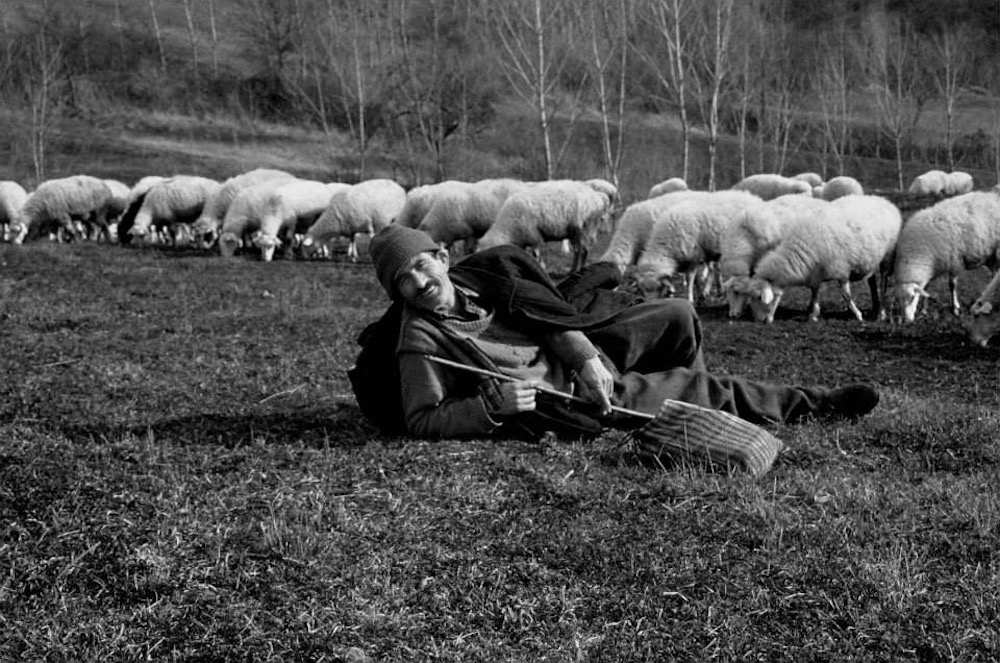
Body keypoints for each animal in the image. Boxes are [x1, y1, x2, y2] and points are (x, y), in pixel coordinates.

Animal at [478, 179, 616, 272]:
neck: (508, 228)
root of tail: (598, 196)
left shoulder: (533, 236)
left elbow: (536, 256)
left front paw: (540, 267)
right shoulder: (525, 239)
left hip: (584, 229)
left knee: (583, 250)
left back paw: (577, 270)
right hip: (576, 232)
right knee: (579, 250)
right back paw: (573, 269)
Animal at [624, 191, 764, 302]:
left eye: (658, 288)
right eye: (642, 290)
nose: (651, 303)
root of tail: (753, 197)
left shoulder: (693, 257)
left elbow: (690, 279)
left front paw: (690, 299)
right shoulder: (695, 256)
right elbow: (697, 279)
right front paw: (700, 294)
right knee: (714, 269)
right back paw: (717, 291)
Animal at [736, 195, 908, 324]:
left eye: (759, 297)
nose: (760, 321)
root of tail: (884, 200)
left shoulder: (841, 270)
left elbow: (846, 295)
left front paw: (858, 315)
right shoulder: (815, 273)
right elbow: (815, 292)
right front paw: (813, 314)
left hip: (887, 255)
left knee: (883, 281)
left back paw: (881, 313)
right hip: (868, 258)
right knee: (872, 281)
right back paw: (875, 307)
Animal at [888, 191, 1000, 322]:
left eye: (912, 297)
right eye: (898, 300)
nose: (907, 320)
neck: (917, 251)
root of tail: (992, 195)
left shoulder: (955, 262)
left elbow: (952, 285)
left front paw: (955, 309)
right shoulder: (932, 266)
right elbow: (927, 289)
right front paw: (924, 310)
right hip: (990, 256)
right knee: (994, 273)